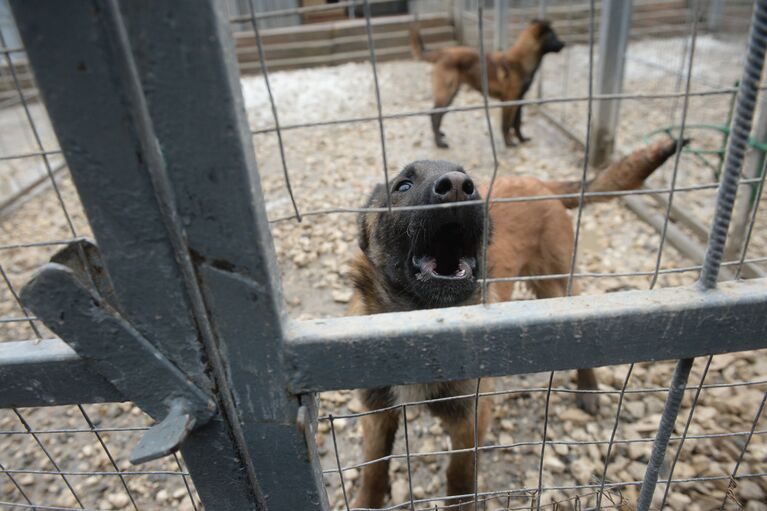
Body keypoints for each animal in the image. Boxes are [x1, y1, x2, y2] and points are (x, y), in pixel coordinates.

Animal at [348, 138, 684, 510]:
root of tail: (538, 182)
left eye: (470, 183)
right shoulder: (377, 411)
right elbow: (373, 470)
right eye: (403, 186)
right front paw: (366, 501)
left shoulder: (471, 415)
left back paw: (587, 389)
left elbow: (459, 475)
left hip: (555, 285)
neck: (422, 322)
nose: (457, 186)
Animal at [412, 20, 568, 148]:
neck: (521, 62)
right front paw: (509, 143)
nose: (564, 44)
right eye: (553, 36)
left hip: (451, 94)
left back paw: (439, 135)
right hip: (446, 93)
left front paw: (522, 139)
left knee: (438, 115)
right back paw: (439, 143)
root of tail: (443, 52)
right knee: (434, 115)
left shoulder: (519, 100)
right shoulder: (509, 101)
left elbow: (517, 123)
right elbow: (506, 124)